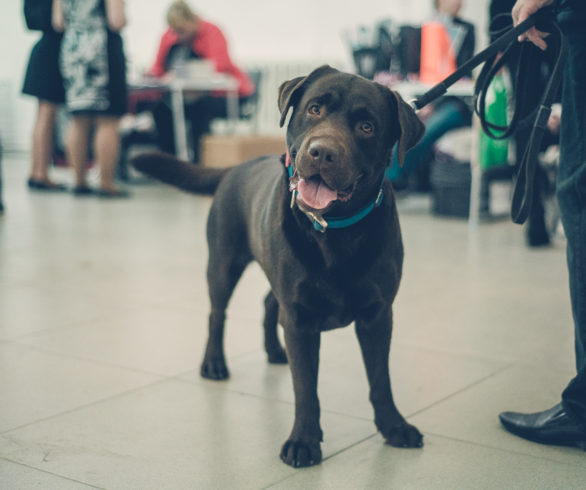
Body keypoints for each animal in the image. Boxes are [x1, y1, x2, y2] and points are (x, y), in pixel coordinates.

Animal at [133, 65, 424, 468]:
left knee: (268, 303)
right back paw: (214, 363)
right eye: (315, 108)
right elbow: (306, 389)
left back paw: (273, 350)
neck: (335, 231)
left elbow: (380, 379)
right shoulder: (300, 319)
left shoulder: (378, 315)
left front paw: (394, 426)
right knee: (217, 313)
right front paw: (303, 440)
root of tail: (234, 168)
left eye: (367, 126)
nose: (322, 152)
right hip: (223, 263)